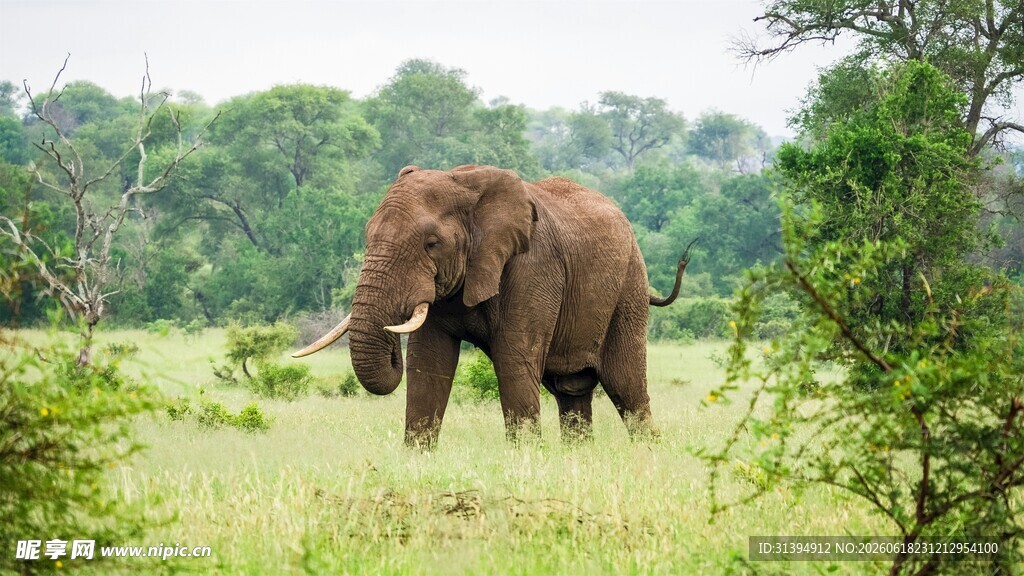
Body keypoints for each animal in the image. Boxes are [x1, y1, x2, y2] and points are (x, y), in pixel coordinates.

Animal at [293, 165, 692, 447]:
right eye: (367, 235)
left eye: (431, 244)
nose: (391, 334)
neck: (465, 186)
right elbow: (427, 362)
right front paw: (417, 457)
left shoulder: (533, 268)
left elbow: (514, 360)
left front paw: (526, 459)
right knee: (572, 392)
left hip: (629, 287)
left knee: (627, 386)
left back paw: (648, 452)